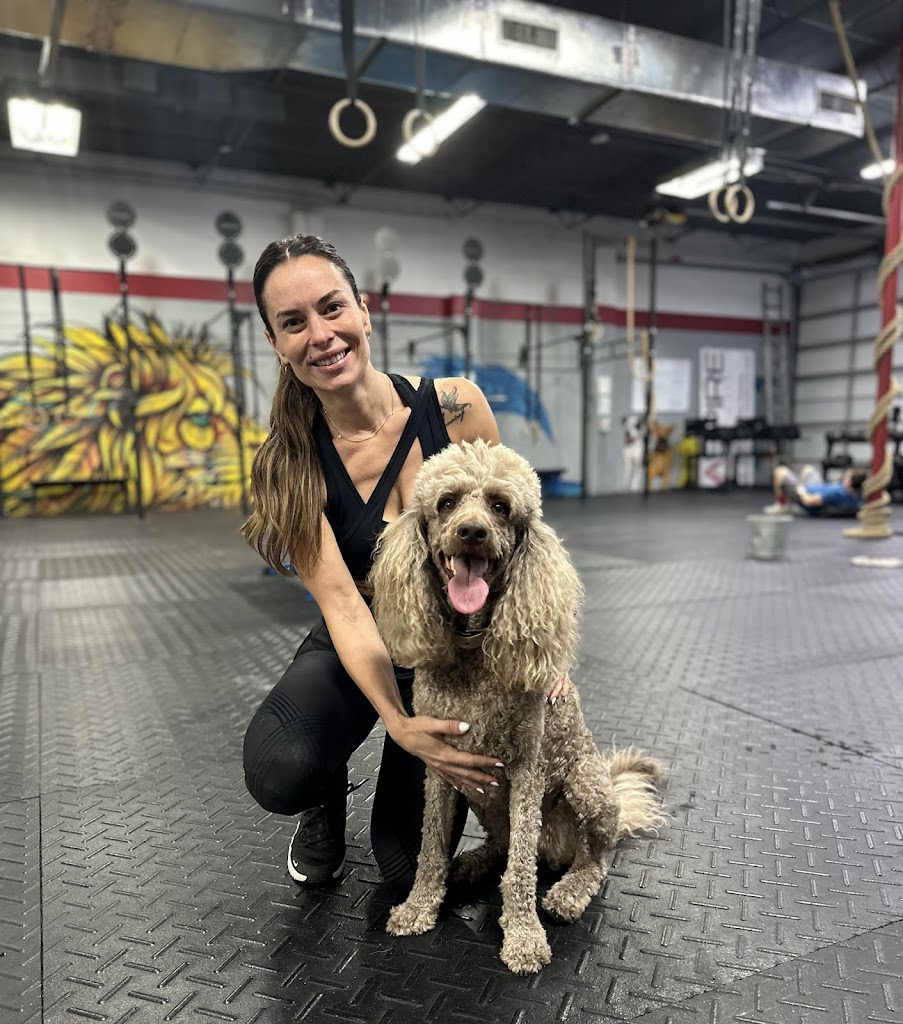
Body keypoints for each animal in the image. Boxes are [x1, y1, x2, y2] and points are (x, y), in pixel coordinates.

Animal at [369, 440, 665, 974]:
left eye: (501, 506)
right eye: (446, 503)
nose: (472, 531)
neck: (473, 649)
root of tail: (560, 847)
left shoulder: (528, 768)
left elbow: (521, 872)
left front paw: (524, 936)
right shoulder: (441, 766)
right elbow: (430, 847)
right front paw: (420, 906)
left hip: (587, 789)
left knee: (593, 858)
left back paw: (568, 892)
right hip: (485, 800)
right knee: (503, 846)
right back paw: (471, 864)